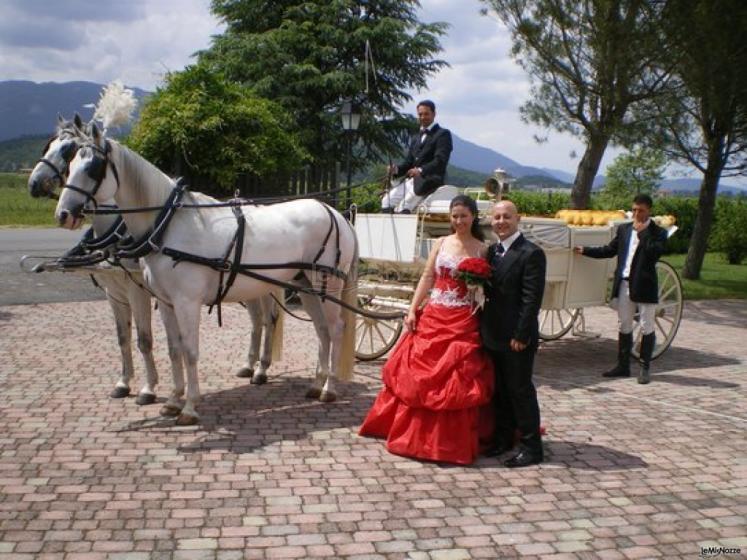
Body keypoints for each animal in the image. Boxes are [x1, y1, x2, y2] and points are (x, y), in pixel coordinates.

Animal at [55, 124, 360, 426]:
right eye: (70, 165)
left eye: (93, 168)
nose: (63, 214)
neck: (168, 225)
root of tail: (335, 213)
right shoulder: (166, 302)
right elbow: (174, 350)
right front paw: (173, 401)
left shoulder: (186, 302)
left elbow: (190, 350)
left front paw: (189, 407)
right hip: (307, 286)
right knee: (321, 331)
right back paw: (316, 384)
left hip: (328, 285)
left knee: (334, 329)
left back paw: (329, 388)